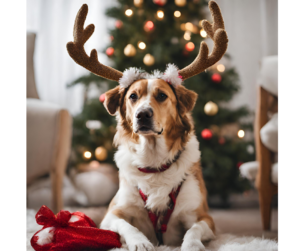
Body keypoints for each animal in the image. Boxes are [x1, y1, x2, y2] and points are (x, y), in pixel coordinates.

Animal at [66, 0, 227, 250]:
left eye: (162, 96)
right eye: (133, 96)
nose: (142, 115)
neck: (154, 162)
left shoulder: (203, 216)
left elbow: (193, 230)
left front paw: (190, 245)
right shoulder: (111, 214)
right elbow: (126, 225)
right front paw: (140, 242)